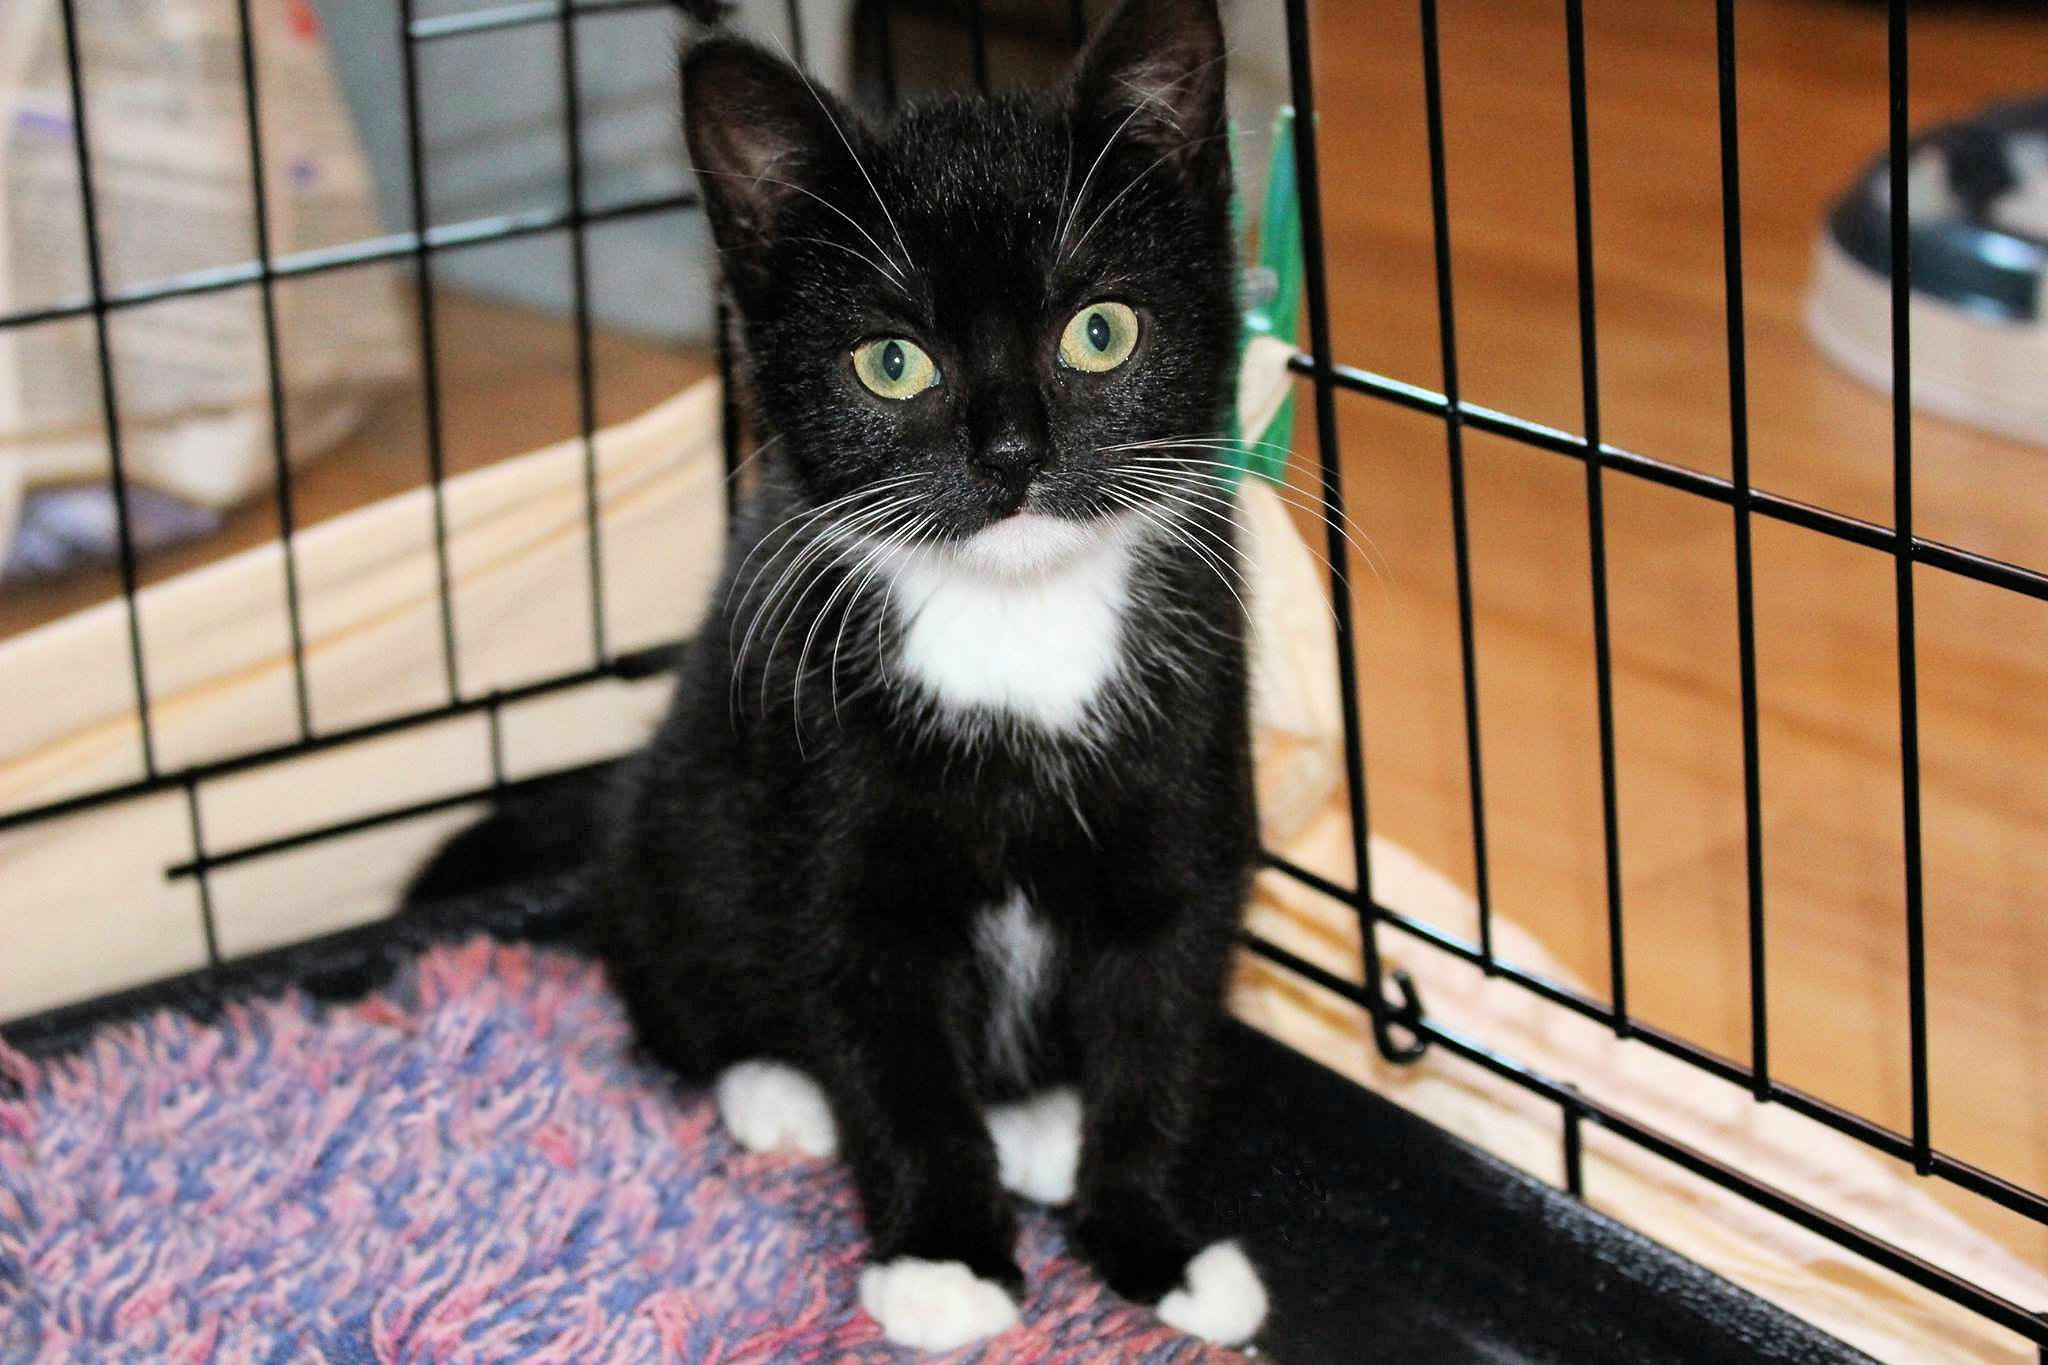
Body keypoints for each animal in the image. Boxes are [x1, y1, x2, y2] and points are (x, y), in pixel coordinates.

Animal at [593, 0, 1261, 1342]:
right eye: (891, 362)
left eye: (1099, 333)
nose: (1009, 453)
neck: (1014, 626)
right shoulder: (827, 827)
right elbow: (892, 1064)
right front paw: (945, 1258)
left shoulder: (1188, 792)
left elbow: (1160, 1029)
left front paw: (1153, 1244)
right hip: (670, 815)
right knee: (668, 979)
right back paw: (774, 1088)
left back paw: (1044, 1122)